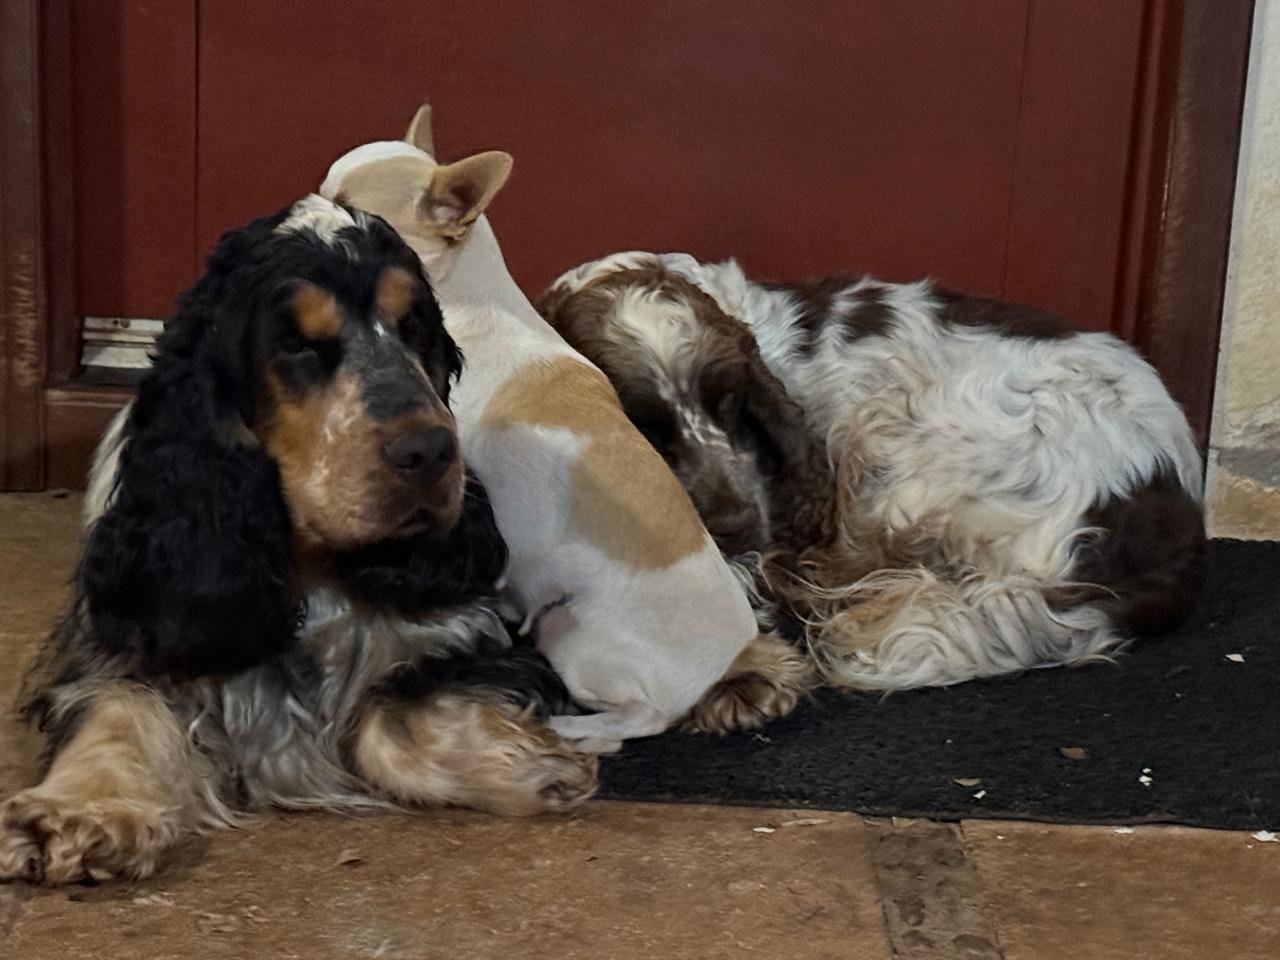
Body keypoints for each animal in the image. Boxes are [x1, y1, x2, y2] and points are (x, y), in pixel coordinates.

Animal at [0, 197, 599, 886]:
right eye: (294, 343)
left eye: (416, 325)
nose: (431, 452)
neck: (306, 560)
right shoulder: (120, 641)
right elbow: (119, 710)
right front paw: (77, 812)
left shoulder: (473, 634)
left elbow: (385, 712)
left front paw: (532, 764)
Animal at [319, 106, 813, 751]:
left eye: (350, 210)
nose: (303, 208)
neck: (468, 296)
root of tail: (720, 666)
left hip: (575, 636)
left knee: (636, 722)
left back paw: (568, 725)